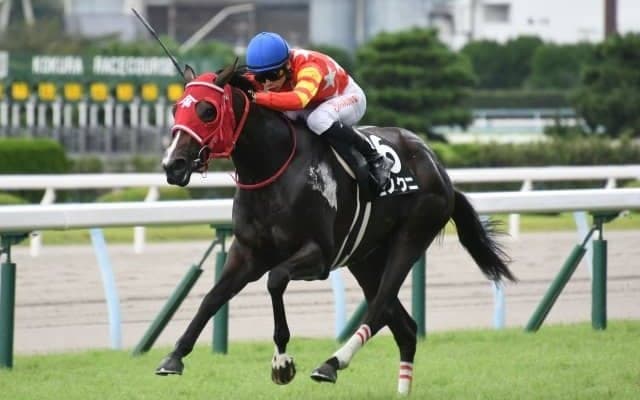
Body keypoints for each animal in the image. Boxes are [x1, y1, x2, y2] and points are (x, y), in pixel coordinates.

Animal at [158, 61, 515, 395]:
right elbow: (212, 297)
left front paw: (282, 362)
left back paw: (331, 363)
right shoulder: (247, 253)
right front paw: (174, 357)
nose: (172, 165)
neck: (274, 168)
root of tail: (439, 168)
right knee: (403, 325)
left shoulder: (319, 256)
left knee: (379, 307)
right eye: (176, 109)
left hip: (412, 236)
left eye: (207, 110)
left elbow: (275, 280)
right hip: (365, 257)